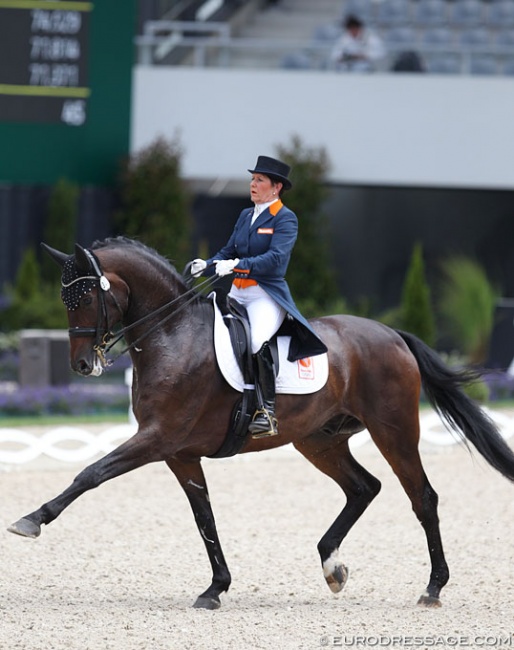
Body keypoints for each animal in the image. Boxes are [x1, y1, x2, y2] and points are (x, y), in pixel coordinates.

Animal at [7, 237, 512, 608]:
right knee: (363, 488)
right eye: (65, 297)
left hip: (395, 430)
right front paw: (215, 588)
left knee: (422, 497)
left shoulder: (156, 439)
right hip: (319, 440)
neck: (173, 336)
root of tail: (392, 334)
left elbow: (91, 473)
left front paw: (31, 520)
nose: (81, 366)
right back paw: (332, 567)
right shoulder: (179, 453)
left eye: (87, 295)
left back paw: (433, 588)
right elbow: (204, 517)